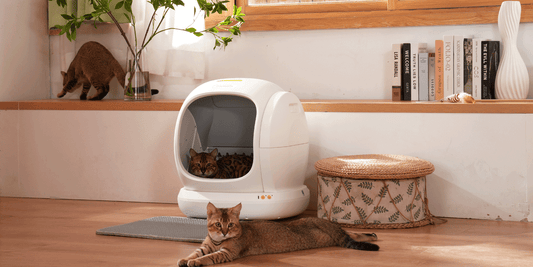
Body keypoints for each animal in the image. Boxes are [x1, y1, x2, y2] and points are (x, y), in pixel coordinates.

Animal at [178, 204, 378, 266]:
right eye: (218, 224)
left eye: (231, 225)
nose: (225, 231)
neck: (218, 242)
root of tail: (320, 221)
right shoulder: (206, 246)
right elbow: (195, 252)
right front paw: (185, 259)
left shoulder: (227, 253)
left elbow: (207, 258)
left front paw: (195, 262)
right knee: (351, 233)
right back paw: (372, 234)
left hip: (327, 237)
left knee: (348, 234)